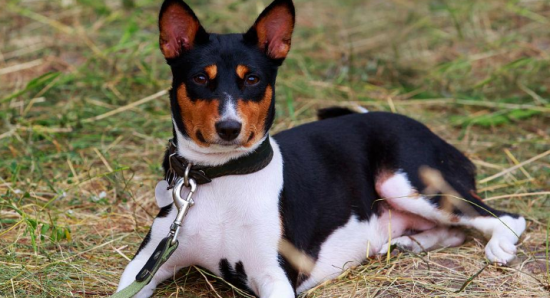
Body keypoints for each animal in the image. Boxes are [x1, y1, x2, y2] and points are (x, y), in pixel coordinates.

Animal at [115, 1, 528, 296]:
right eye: (201, 78)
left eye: (253, 79)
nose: (229, 128)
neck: (220, 177)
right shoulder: (143, 268)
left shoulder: (274, 275)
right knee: (456, 231)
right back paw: (408, 243)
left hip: (408, 184)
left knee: (506, 217)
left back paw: (498, 248)